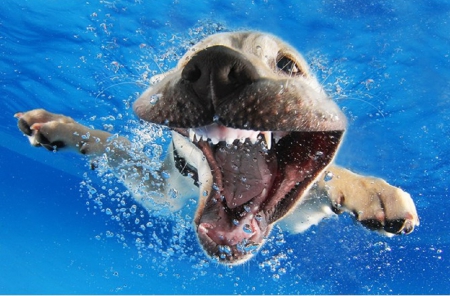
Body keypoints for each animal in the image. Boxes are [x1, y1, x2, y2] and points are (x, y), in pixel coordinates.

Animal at [16, 31, 418, 264]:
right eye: (189, 57)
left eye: (288, 65)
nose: (215, 66)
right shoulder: (155, 189)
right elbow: (118, 144)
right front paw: (59, 126)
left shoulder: (300, 213)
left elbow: (323, 178)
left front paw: (373, 192)